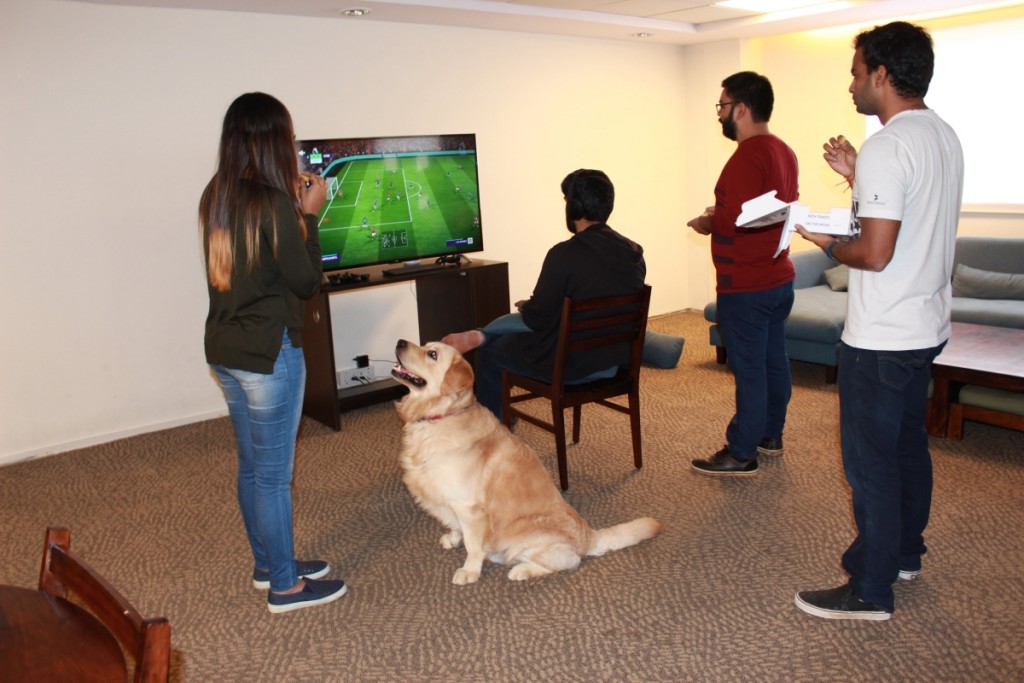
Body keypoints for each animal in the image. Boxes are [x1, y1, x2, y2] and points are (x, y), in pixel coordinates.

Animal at [391, 339, 663, 585]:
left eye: (432, 354)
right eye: (425, 346)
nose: (400, 342)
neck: (440, 416)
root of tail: (588, 535)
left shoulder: (468, 506)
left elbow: (473, 544)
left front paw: (470, 570)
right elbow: (457, 527)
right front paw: (452, 537)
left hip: (527, 537)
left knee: (569, 561)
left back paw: (522, 570)